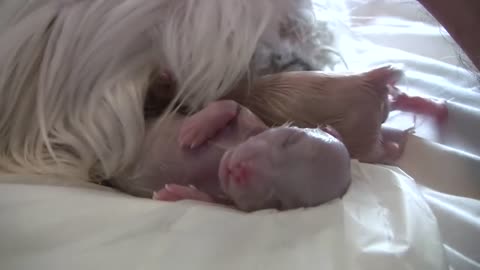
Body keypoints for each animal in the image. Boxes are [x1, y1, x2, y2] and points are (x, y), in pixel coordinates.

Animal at [113, 100, 352, 212]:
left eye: (281, 201)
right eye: (290, 139)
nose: (241, 170)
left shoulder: (228, 203)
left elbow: (209, 201)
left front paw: (176, 194)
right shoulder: (252, 123)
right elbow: (233, 105)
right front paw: (195, 128)